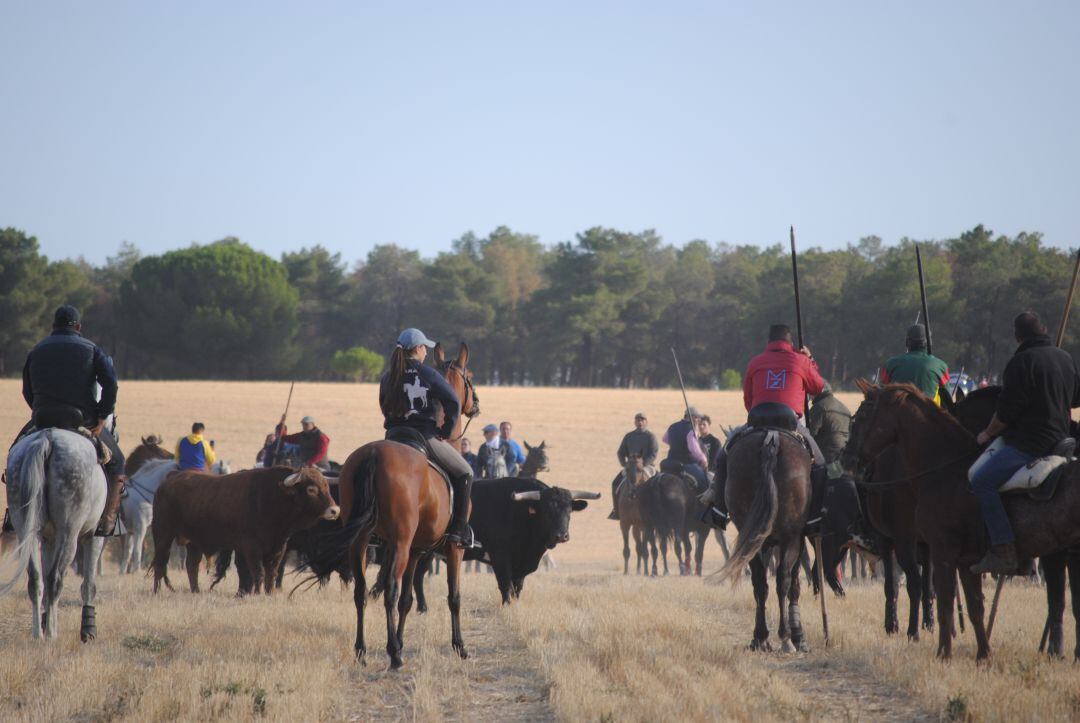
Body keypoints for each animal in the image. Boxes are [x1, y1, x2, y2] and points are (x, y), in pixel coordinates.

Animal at [1, 425, 107, 639]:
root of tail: (47, 439)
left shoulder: (48, 540)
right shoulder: (93, 537)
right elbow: (89, 585)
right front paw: (88, 629)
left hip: (27, 531)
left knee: (36, 580)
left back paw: (38, 634)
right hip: (69, 534)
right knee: (55, 580)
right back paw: (51, 634)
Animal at [152, 464, 336, 596]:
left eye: (326, 486)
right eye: (311, 489)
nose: (335, 510)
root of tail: (170, 478)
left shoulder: (278, 549)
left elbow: (271, 573)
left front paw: (269, 594)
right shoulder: (251, 549)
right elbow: (257, 572)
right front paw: (256, 593)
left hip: (194, 543)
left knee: (192, 566)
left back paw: (195, 591)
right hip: (163, 535)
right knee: (160, 564)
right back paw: (156, 591)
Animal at [332, 341, 477, 670]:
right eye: (470, 377)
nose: (475, 404)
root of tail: (374, 453)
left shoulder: (417, 550)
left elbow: (408, 601)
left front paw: (400, 639)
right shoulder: (453, 549)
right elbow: (453, 596)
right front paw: (459, 646)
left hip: (361, 542)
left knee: (361, 591)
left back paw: (362, 650)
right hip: (398, 542)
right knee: (389, 589)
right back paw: (394, 655)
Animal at [717, 427, 812, 652]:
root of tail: (771, 441)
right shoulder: (797, 538)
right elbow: (794, 582)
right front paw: (799, 635)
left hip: (751, 534)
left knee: (760, 581)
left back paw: (760, 637)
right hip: (790, 537)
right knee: (783, 579)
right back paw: (786, 637)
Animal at [842, 382, 1080, 661]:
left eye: (862, 416)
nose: (846, 457)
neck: (945, 468)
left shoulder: (935, 547)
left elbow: (939, 597)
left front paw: (941, 651)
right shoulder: (964, 559)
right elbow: (974, 605)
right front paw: (983, 654)